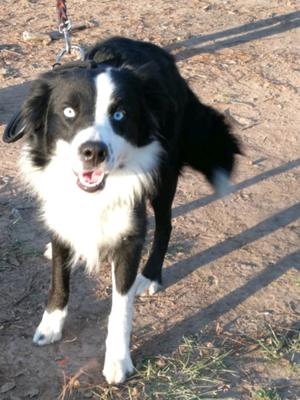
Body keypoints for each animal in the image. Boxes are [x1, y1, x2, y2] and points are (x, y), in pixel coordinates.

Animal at [3, 36, 240, 384]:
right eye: (69, 112)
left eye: (120, 114)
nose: (94, 152)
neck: (92, 195)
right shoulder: (60, 214)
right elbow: (59, 279)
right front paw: (50, 325)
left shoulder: (129, 238)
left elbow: (120, 310)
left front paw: (117, 360)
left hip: (164, 176)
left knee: (165, 225)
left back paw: (151, 275)